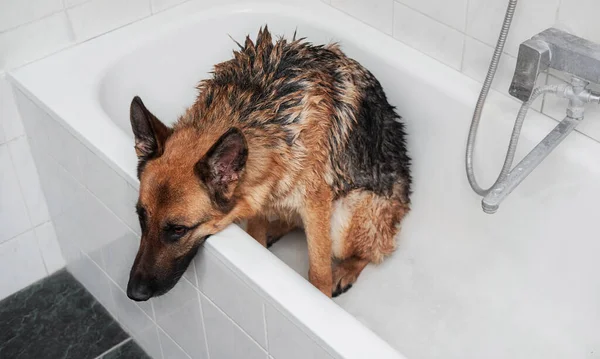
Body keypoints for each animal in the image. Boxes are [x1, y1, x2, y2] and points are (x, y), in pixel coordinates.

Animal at [124, 26, 410, 300]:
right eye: (141, 217)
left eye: (178, 230)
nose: (134, 293)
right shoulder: (258, 195)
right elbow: (256, 234)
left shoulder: (315, 204)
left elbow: (319, 270)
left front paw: (323, 296)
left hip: (346, 217)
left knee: (373, 251)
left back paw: (345, 270)